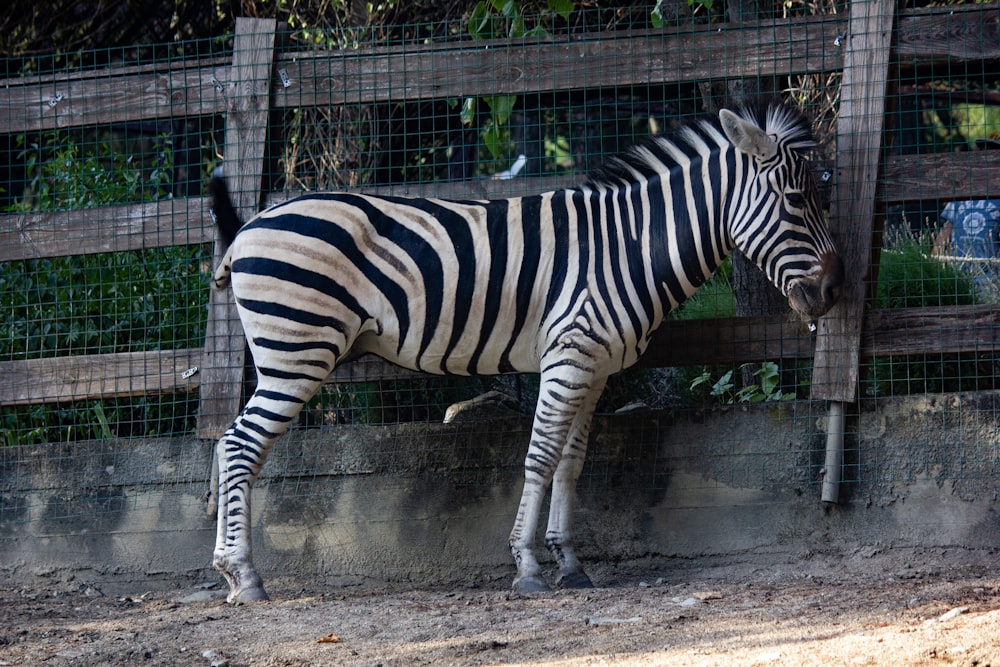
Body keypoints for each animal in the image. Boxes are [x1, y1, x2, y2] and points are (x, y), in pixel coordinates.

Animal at [209, 100, 844, 604]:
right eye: (795, 200)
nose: (835, 292)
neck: (632, 246)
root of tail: (251, 226)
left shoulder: (595, 367)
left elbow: (571, 463)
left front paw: (571, 563)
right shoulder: (568, 357)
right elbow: (539, 458)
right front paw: (528, 565)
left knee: (227, 443)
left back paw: (229, 571)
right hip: (298, 351)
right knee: (240, 445)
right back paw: (246, 577)